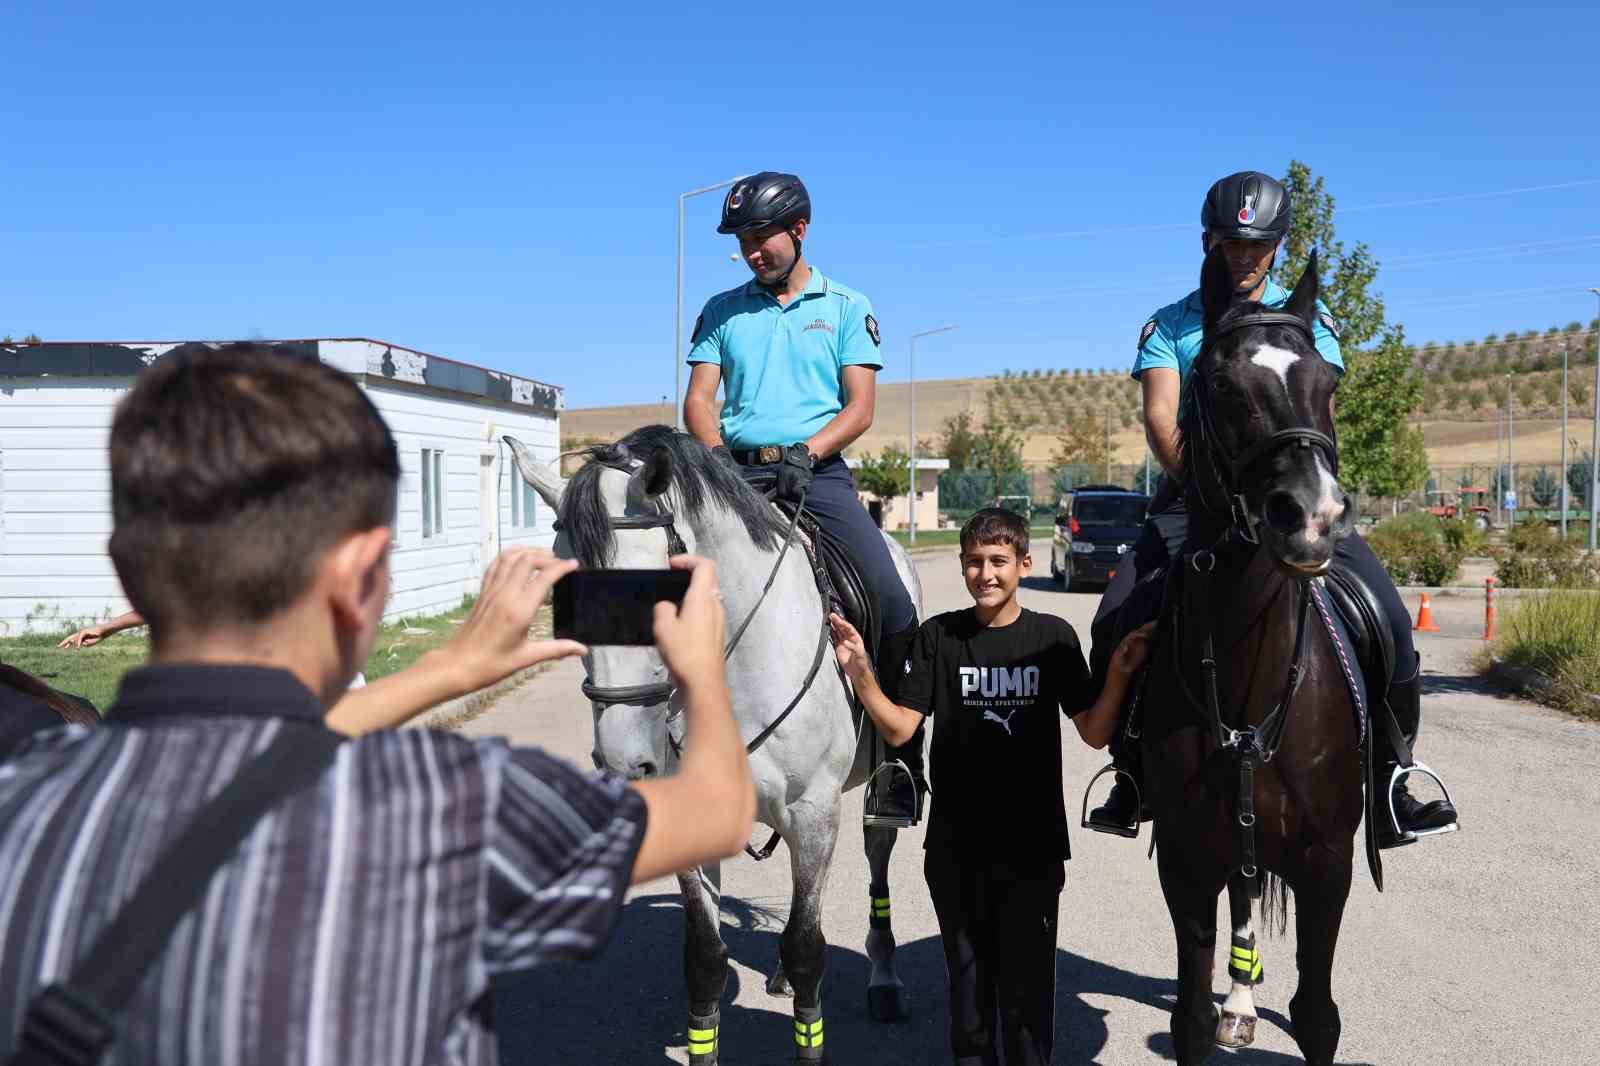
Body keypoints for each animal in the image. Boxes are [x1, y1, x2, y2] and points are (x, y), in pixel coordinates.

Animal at [512, 425, 928, 1062]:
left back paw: (884, 980)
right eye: (563, 600)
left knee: (875, 859)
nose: (624, 761)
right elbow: (706, 960)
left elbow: (807, 950)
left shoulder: (814, 812)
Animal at [1145, 244, 1369, 1056]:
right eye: (1219, 384)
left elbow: (1318, 1014)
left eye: (1329, 382)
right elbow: (1187, 1015)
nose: (1311, 517)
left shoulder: (1327, 866)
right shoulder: (1186, 863)